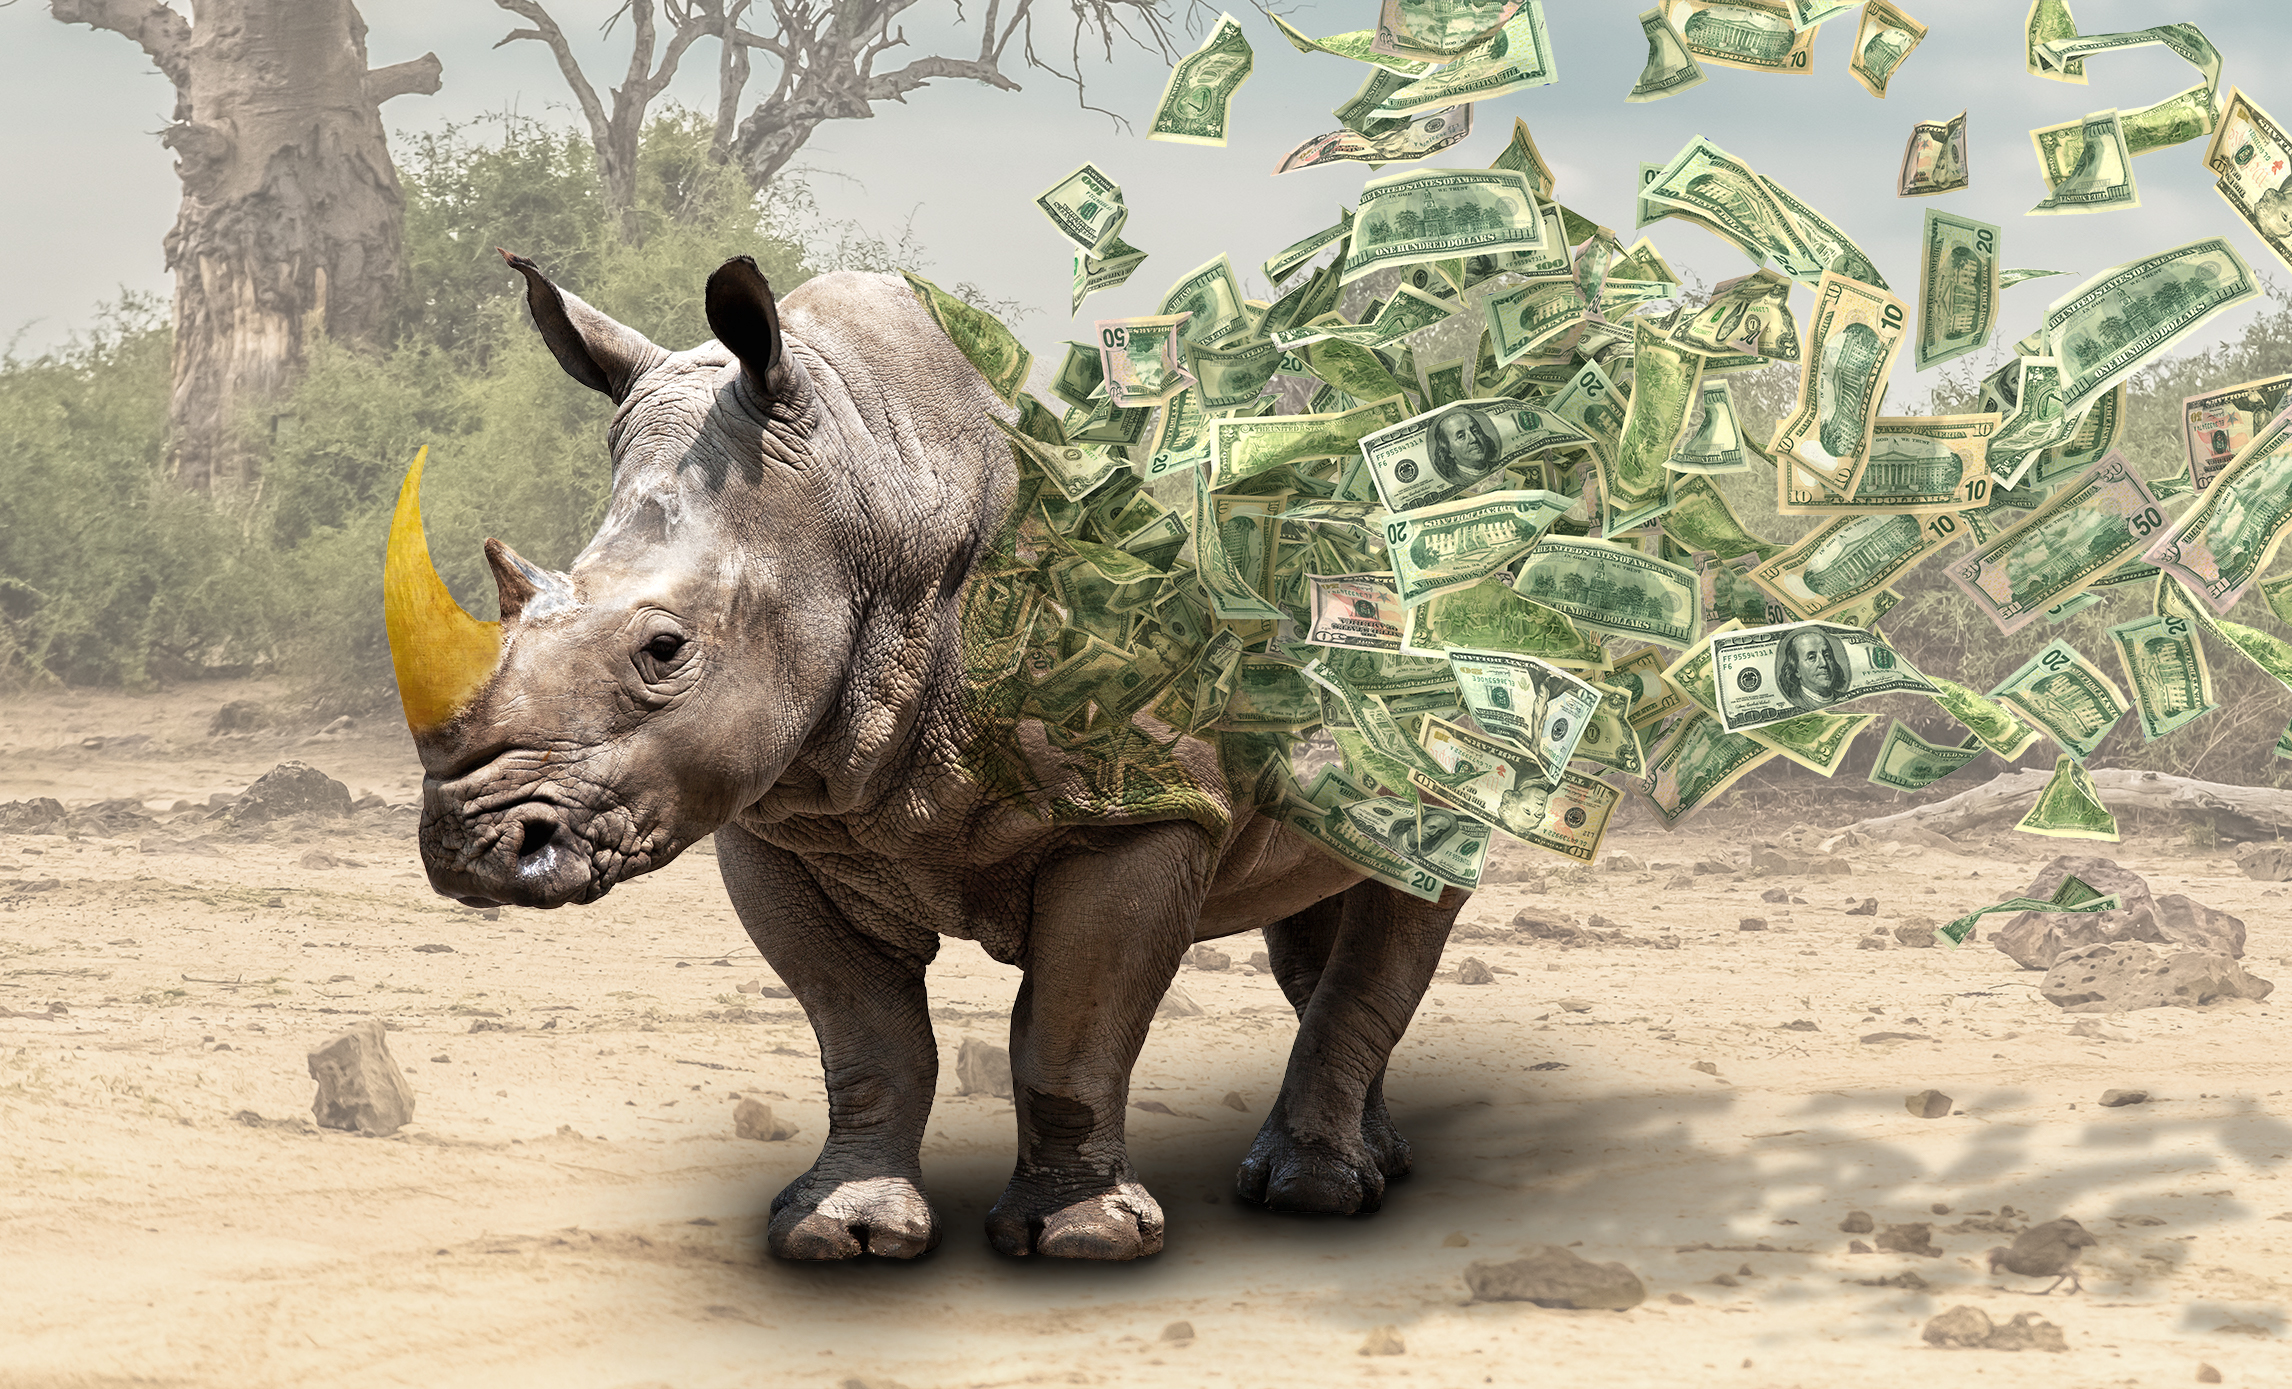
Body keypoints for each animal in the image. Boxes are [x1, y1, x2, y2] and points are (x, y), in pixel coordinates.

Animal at [383, 253, 1469, 1260]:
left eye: (664, 649)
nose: (473, 849)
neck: (872, 502)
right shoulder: (781, 826)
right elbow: (866, 1033)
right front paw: (842, 1232)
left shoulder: (1138, 810)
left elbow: (1069, 1031)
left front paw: (1083, 1241)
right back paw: (1371, 1166)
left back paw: (1312, 1195)